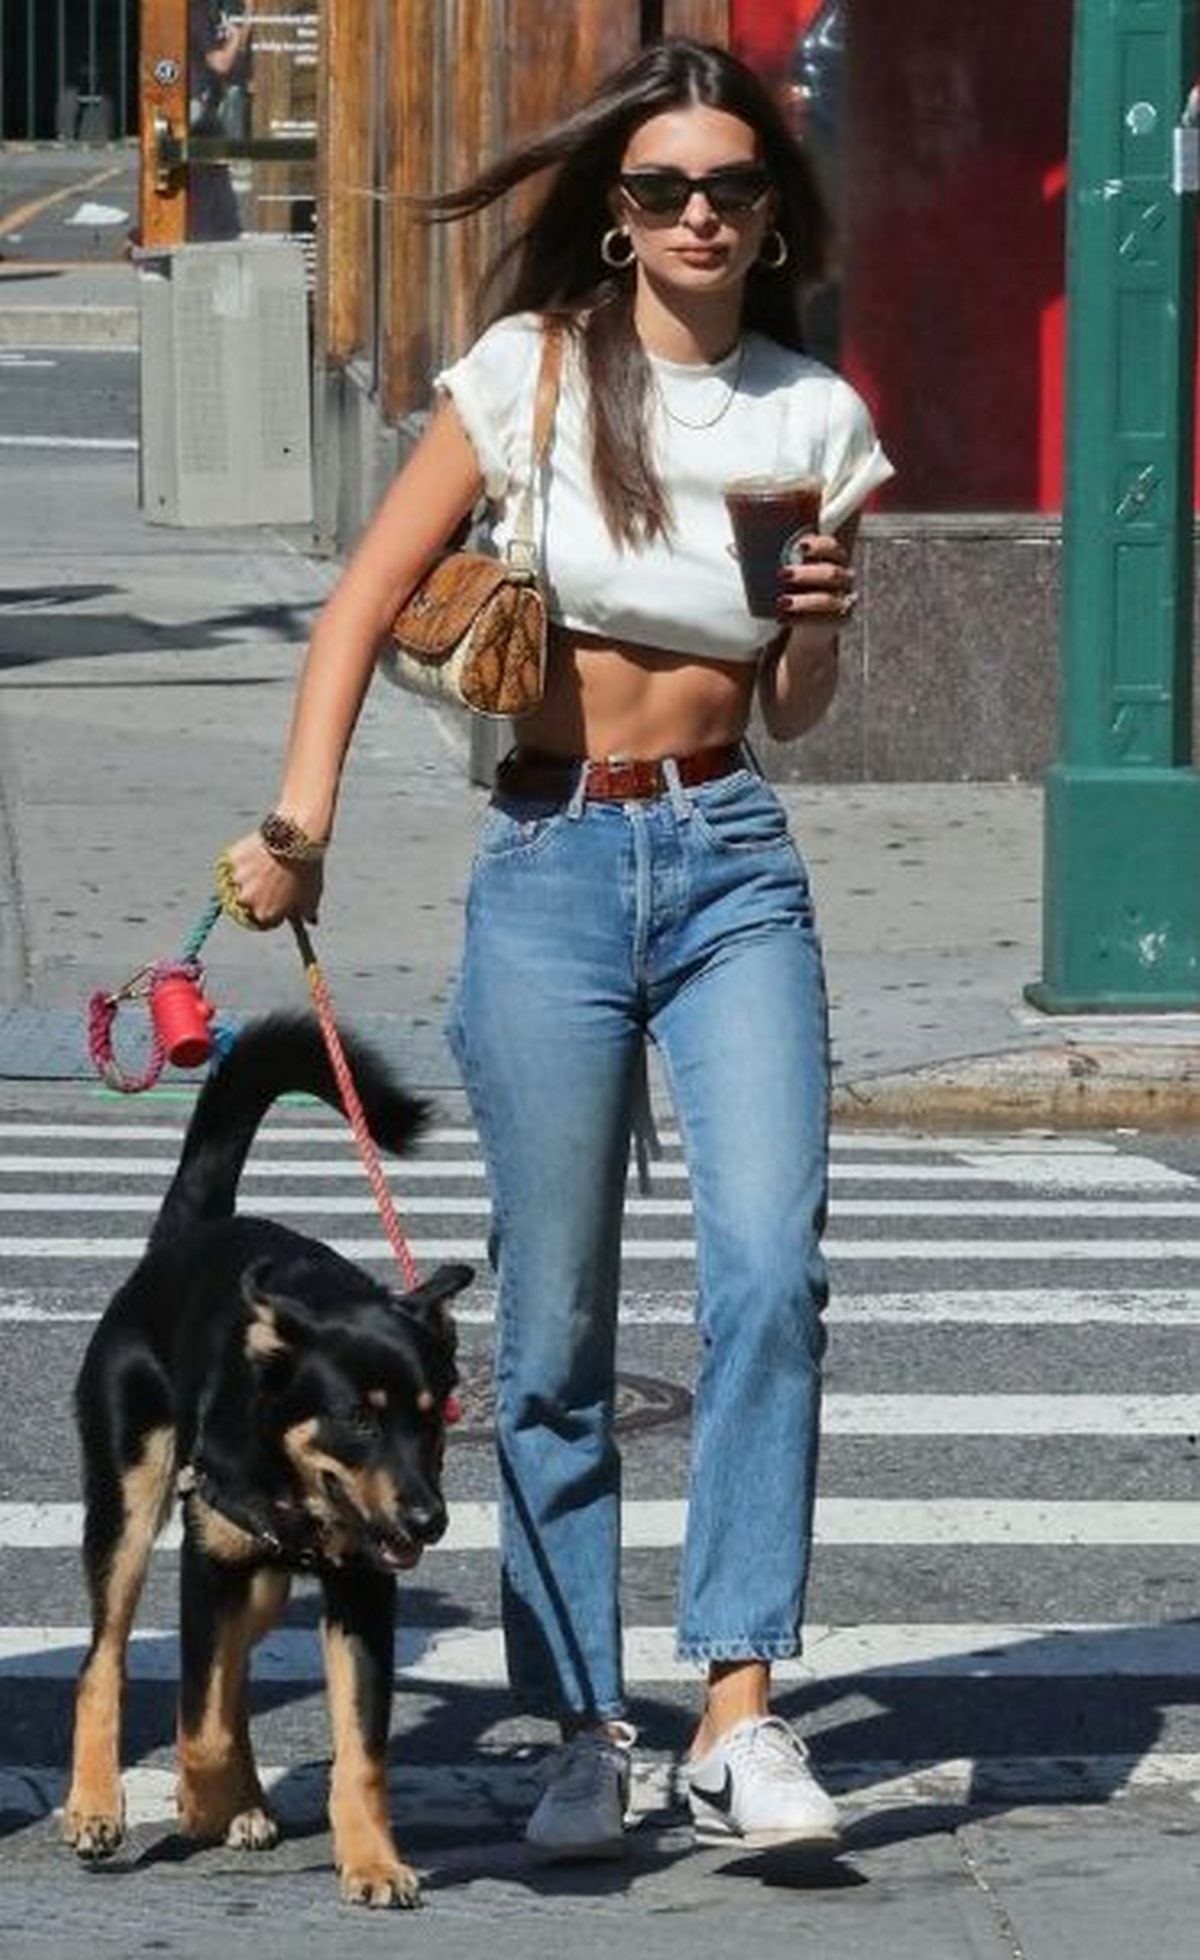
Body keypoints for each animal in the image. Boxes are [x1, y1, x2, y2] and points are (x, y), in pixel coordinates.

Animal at [63, 1019, 470, 1905]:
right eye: (358, 1418)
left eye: (433, 1419)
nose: (430, 1520)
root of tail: (185, 1237)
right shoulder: (207, 1561)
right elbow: (198, 1719)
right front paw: (201, 1800)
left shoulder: (361, 1592)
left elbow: (360, 1751)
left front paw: (373, 1862)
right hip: (132, 1501)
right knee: (106, 1658)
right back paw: (98, 1807)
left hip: (266, 1578)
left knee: (237, 1671)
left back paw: (244, 1799)